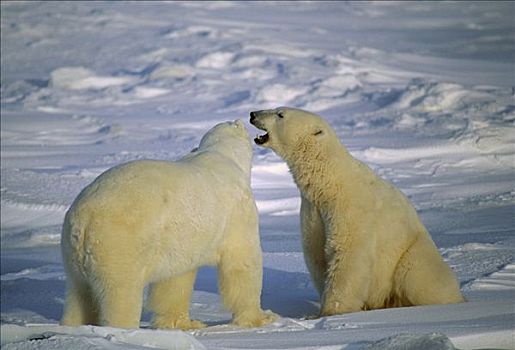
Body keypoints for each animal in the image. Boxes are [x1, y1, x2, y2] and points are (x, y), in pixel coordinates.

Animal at [61, 119, 278, 328]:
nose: (245, 118)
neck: (222, 154)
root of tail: (85, 221)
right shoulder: (238, 212)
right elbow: (242, 263)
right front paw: (262, 317)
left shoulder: (181, 241)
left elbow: (175, 281)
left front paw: (184, 323)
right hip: (119, 244)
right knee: (120, 293)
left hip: (73, 256)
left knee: (80, 296)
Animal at [250, 108, 464, 316]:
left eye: (280, 114)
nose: (253, 114)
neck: (329, 181)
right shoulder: (313, 211)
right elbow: (317, 253)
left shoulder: (350, 206)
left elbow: (347, 252)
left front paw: (330, 311)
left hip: (413, 253)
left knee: (419, 278)